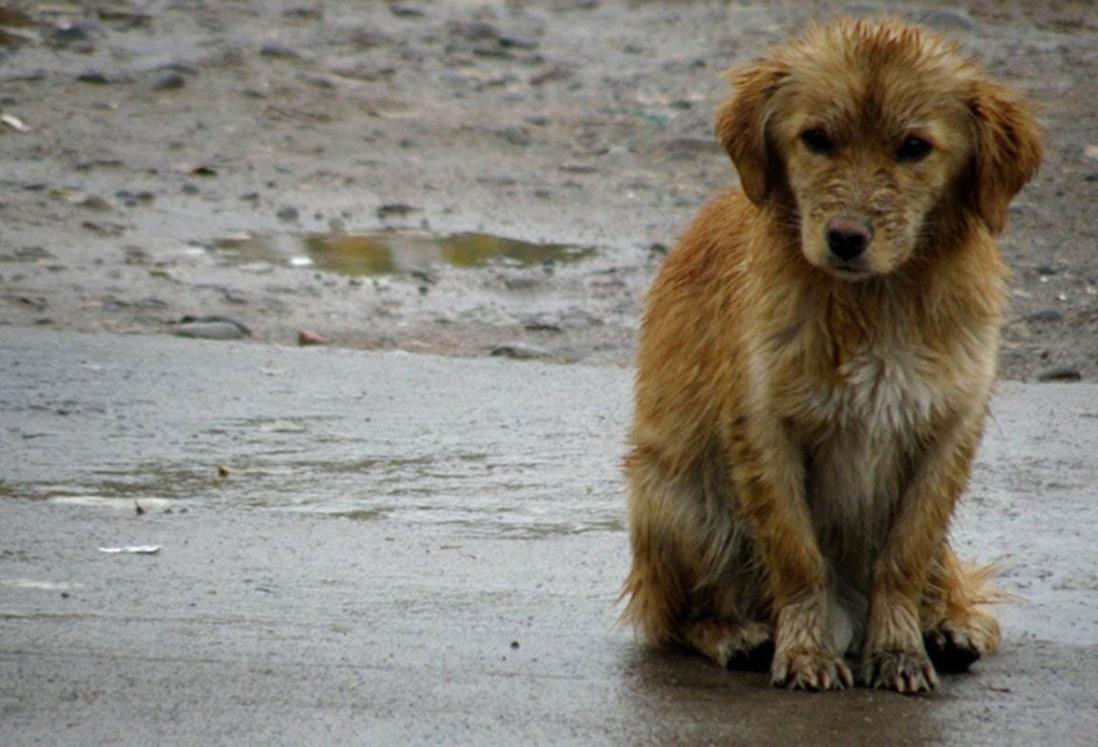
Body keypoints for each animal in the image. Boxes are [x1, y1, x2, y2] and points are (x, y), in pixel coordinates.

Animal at [623, 17, 1040, 694]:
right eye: (816, 138)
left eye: (914, 147)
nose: (845, 238)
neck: (876, 302)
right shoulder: (765, 429)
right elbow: (798, 556)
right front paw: (806, 650)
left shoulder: (948, 431)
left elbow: (903, 556)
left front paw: (897, 648)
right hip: (678, 499)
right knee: (675, 616)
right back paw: (735, 634)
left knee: (948, 583)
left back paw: (948, 626)